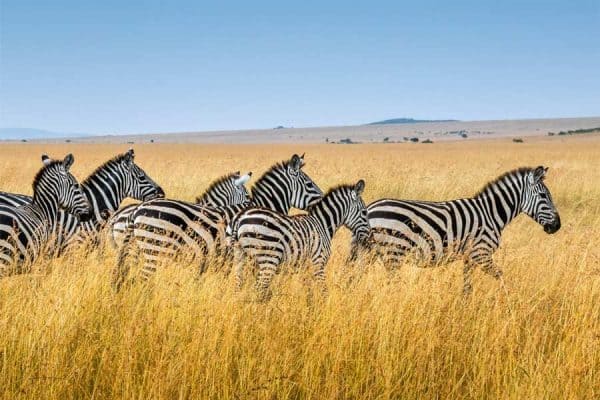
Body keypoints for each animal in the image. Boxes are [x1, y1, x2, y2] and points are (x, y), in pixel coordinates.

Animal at [230, 180, 370, 298]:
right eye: (364, 212)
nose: (369, 237)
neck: (323, 224)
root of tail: (240, 218)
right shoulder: (318, 262)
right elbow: (323, 291)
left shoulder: (305, 267)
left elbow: (308, 291)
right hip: (268, 258)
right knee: (259, 290)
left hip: (240, 257)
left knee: (238, 287)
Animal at [360, 166, 564, 294]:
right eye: (543, 195)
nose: (557, 226)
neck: (491, 213)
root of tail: (370, 208)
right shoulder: (481, 253)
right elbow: (500, 276)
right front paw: (509, 302)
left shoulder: (469, 256)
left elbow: (467, 286)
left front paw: (464, 307)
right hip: (393, 252)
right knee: (390, 283)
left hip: (373, 253)